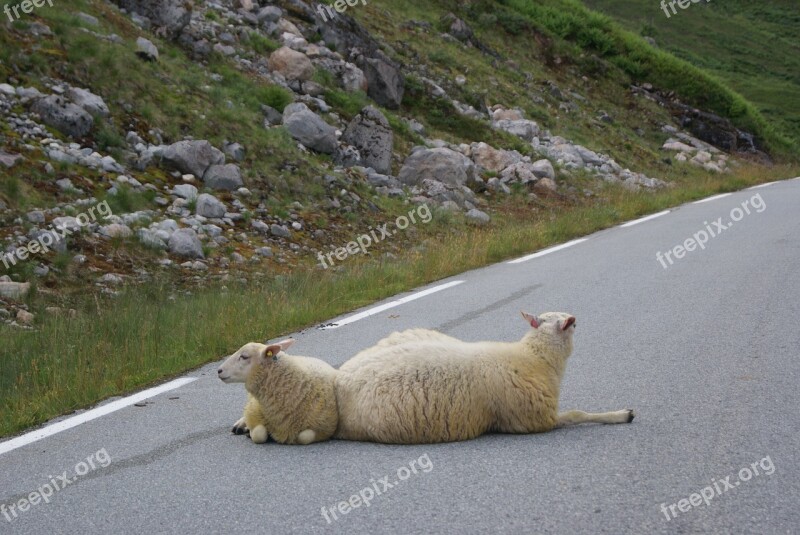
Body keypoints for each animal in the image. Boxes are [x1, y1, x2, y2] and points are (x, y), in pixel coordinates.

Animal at [334, 312, 636, 446]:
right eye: (569, 324)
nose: (576, 319)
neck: (534, 358)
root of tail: (339, 381)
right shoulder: (534, 419)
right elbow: (576, 414)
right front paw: (621, 415)